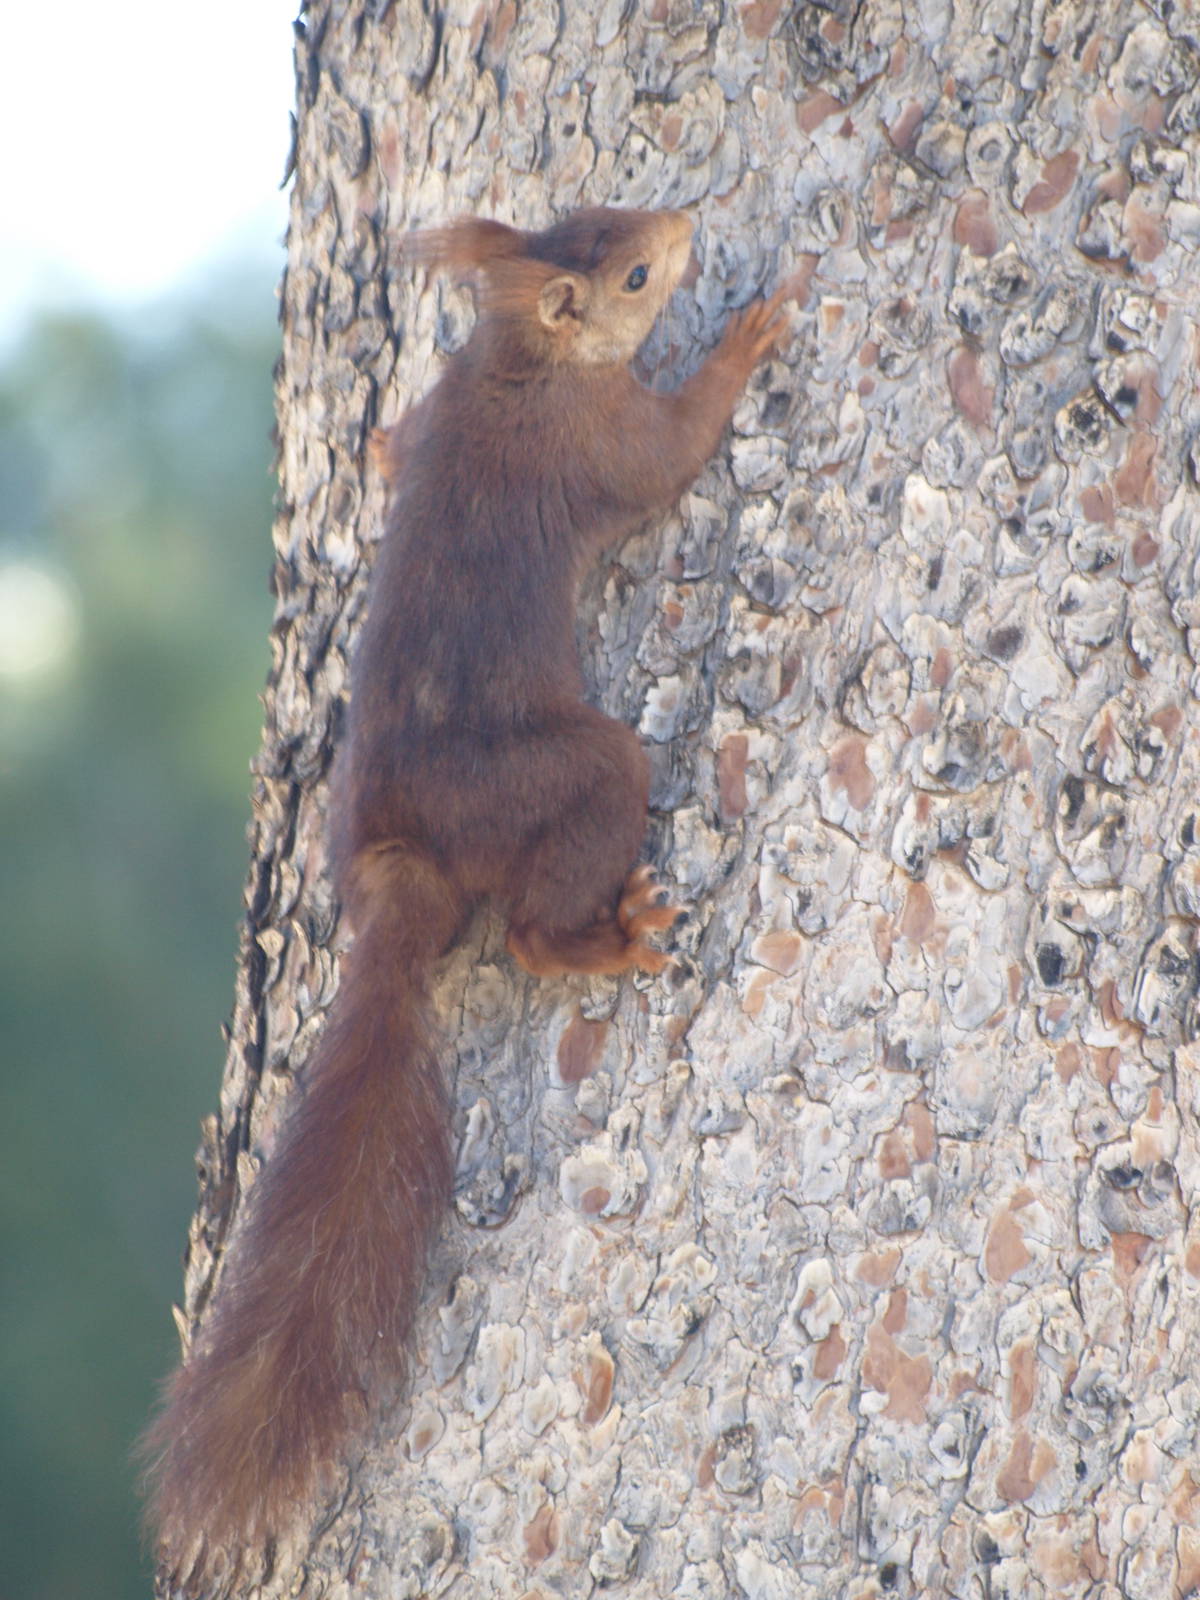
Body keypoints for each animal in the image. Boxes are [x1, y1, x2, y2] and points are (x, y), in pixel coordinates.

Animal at [144, 205, 795, 1587]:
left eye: (617, 217)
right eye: (638, 273)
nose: (684, 225)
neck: (512, 362)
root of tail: (402, 872)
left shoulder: (437, 398)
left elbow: (395, 441)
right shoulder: (597, 438)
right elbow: (671, 452)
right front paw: (749, 334)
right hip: (572, 772)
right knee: (542, 923)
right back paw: (609, 937)